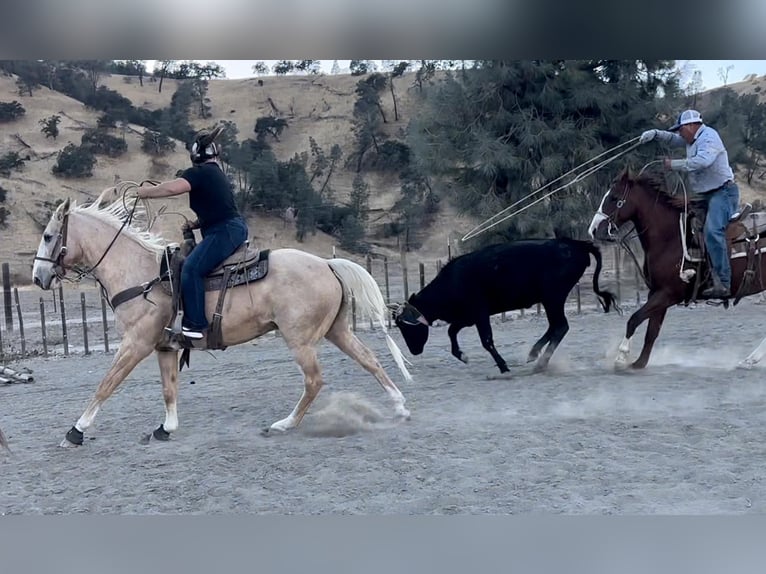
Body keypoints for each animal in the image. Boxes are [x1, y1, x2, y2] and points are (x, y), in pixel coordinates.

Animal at [31, 191, 414, 448]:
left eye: (49, 236)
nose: (37, 277)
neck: (141, 275)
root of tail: (327, 263)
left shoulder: (136, 343)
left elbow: (106, 384)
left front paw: (76, 431)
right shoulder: (164, 348)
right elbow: (169, 389)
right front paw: (166, 428)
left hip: (300, 339)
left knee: (314, 381)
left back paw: (284, 424)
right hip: (337, 331)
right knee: (369, 359)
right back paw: (398, 407)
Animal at [588, 169, 766, 372]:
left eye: (614, 197)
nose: (593, 229)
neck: (670, 238)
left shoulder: (668, 294)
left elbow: (634, 319)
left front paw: (621, 357)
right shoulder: (656, 293)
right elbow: (651, 331)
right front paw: (639, 363)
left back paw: (751, 359)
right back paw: (749, 360)